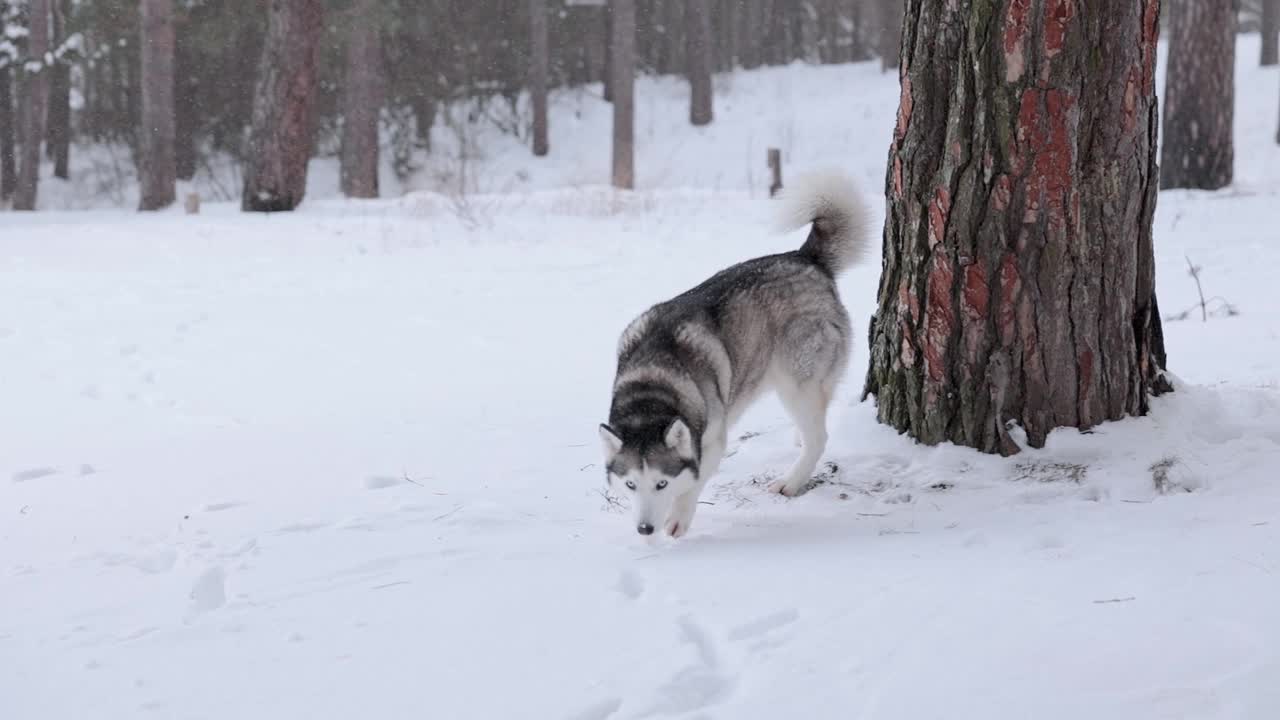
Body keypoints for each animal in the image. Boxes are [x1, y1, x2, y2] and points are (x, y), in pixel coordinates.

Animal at [599, 170, 870, 535]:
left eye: (661, 484)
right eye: (630, 484)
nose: (645, 529)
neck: (653, 386)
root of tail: (805, 259)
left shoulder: (712, 442)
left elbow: (694, 483)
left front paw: (678, 518)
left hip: (796, 384)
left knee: (819, 438)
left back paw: (792, 481)